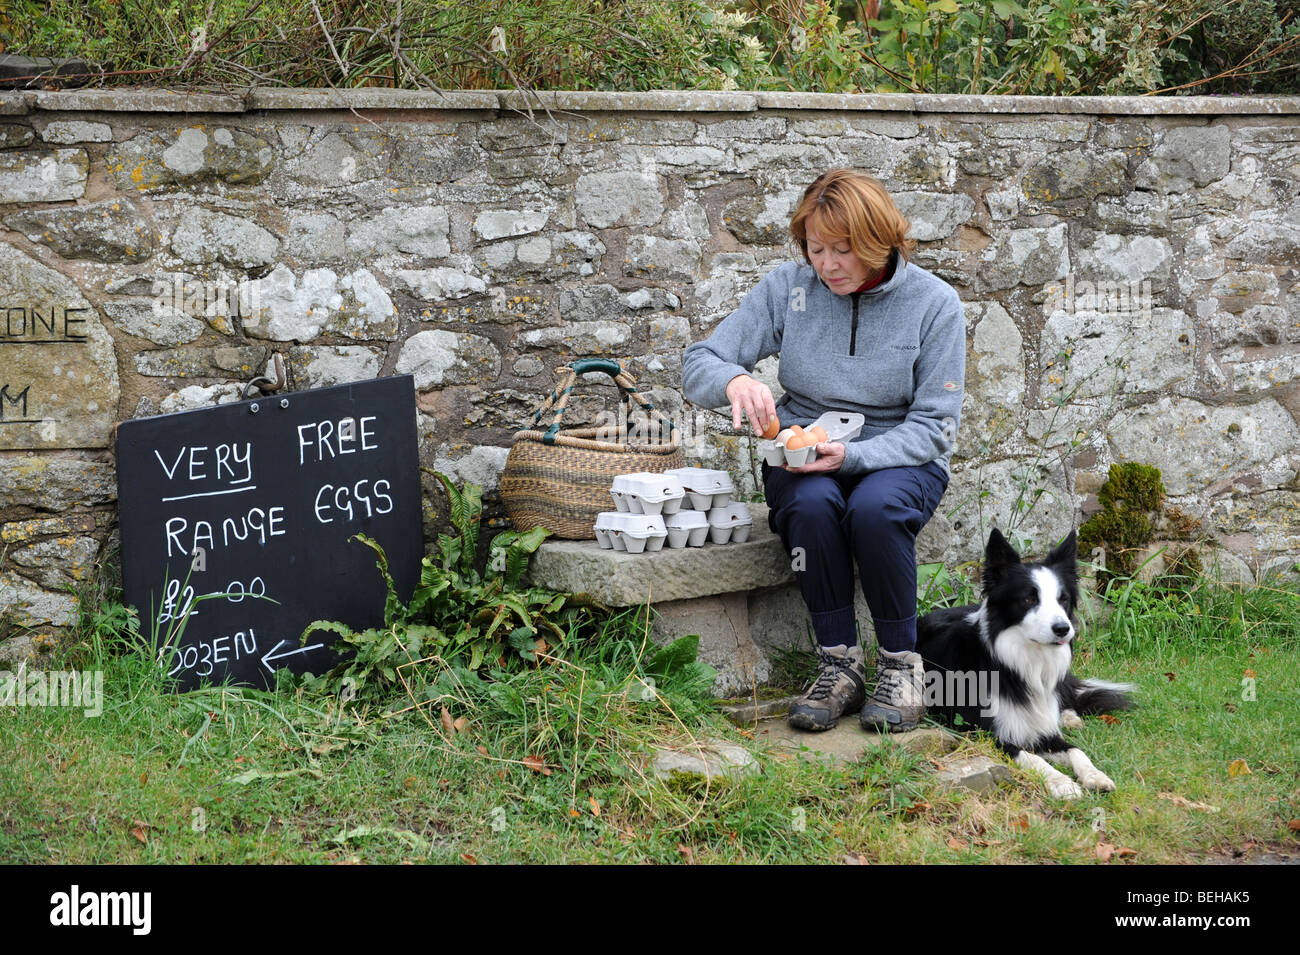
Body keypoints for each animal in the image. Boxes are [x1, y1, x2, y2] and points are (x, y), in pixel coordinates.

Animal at [920, 530, 1133, 800]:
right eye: (1029, 598)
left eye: (1063, 599)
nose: (1063, 629)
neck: (1026, 663)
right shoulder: (987, 734)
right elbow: (1033, 758)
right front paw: (1063, 783)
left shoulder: (1043, 730)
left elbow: (1076, 750)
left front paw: (1095, 776)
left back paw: (1070, 717)